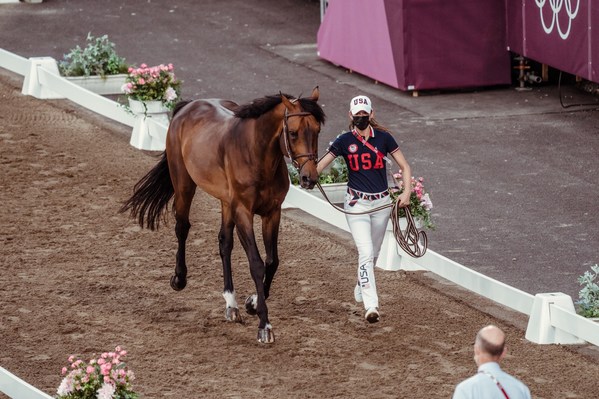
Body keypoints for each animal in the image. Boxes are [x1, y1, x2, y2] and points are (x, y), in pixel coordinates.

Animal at [120, 87, 326, 344]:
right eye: (293, 132)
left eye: (317, 130)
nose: (310, 178)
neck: (257, 154)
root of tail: (189, 106)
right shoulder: (243, 212)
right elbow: (256, 264)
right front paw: (264, 325)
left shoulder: (272, 213)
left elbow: (272, 261)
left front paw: (252, 303)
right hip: (184, 186)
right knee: (182, 228)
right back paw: (179, 279)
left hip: (226, 202)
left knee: (224, 243)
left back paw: (231, 303)